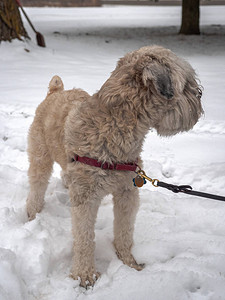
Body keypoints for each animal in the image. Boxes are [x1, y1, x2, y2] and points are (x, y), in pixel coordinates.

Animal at [27, 44, 203, 286]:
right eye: (186, 84)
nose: (200, 94)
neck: (117, 128)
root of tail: (55, 91)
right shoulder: (85, 198)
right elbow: (84, 238)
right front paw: (84, 275)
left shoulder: (127, 192)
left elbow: (124, 231)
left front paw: (129, 262)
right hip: (40, 155)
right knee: (37, 184)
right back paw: (32, 213)